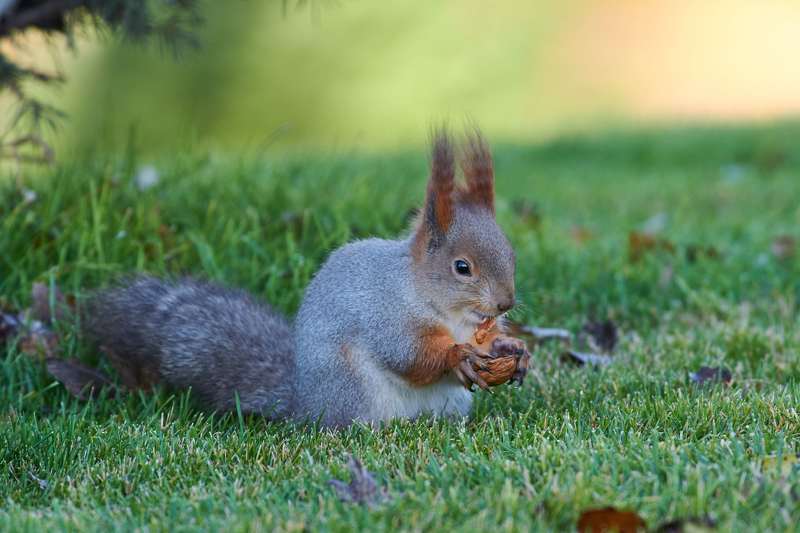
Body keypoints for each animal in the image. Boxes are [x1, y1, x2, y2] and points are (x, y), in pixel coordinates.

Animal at [85, 128, 530, 428]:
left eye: (510, 253)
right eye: (462, 267)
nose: (505, 303)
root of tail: (305, 403)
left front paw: (512, 347)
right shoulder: (386, 317)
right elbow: (409, 355)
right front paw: (458, 356)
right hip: (352, 390)